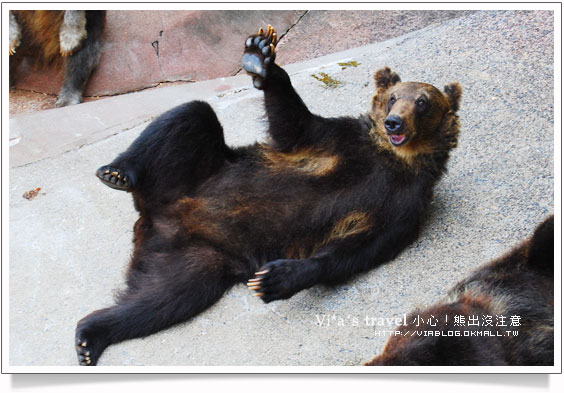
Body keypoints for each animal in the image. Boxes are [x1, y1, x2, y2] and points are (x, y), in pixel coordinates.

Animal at [75, 25, 462, 364]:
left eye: (423, 102)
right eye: (394, 98)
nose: (394, 122)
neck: (394, 159)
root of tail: (155, 218)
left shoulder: (404, 205)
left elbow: (358, 249)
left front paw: (274, 279)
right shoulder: (340, 141)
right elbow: (295, 125)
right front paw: (260, 55)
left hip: (196, 258)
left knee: (163, 298)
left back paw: (90, 335)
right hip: (193, 172)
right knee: (191, 115)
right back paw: (116, 172)